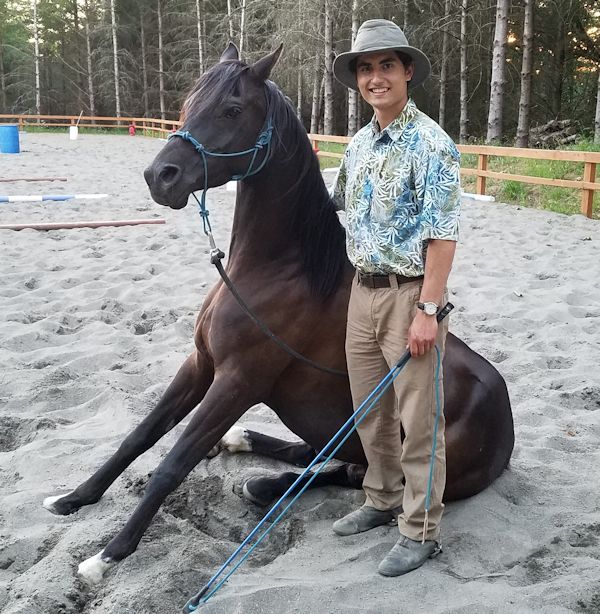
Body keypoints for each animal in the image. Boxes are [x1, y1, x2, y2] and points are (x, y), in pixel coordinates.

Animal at [42, 44, 512, 588]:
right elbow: (139, 436)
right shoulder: (200, 365)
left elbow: (172, 464)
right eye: (189, 103)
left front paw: (109, 555)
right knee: (322, 457)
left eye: (231, 109)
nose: (161, 176)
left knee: (360, 476)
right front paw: (73, 498)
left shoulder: (238, 381)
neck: (276, 272)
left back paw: (265, 484)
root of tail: (504, 420)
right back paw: (246, 453)